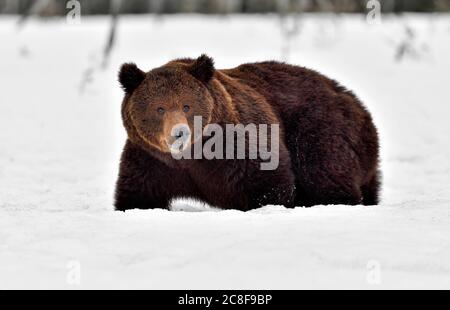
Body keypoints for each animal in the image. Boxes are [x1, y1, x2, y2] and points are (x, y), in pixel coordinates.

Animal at [115, 55, 380, 211]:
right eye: (159, 108)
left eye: (186, 105)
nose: (179, 133)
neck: (192, 157)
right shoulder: (150, 160)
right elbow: (138, 195)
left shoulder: (236, 144)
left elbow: (266, 182)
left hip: (318, 128)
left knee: (324, 172)